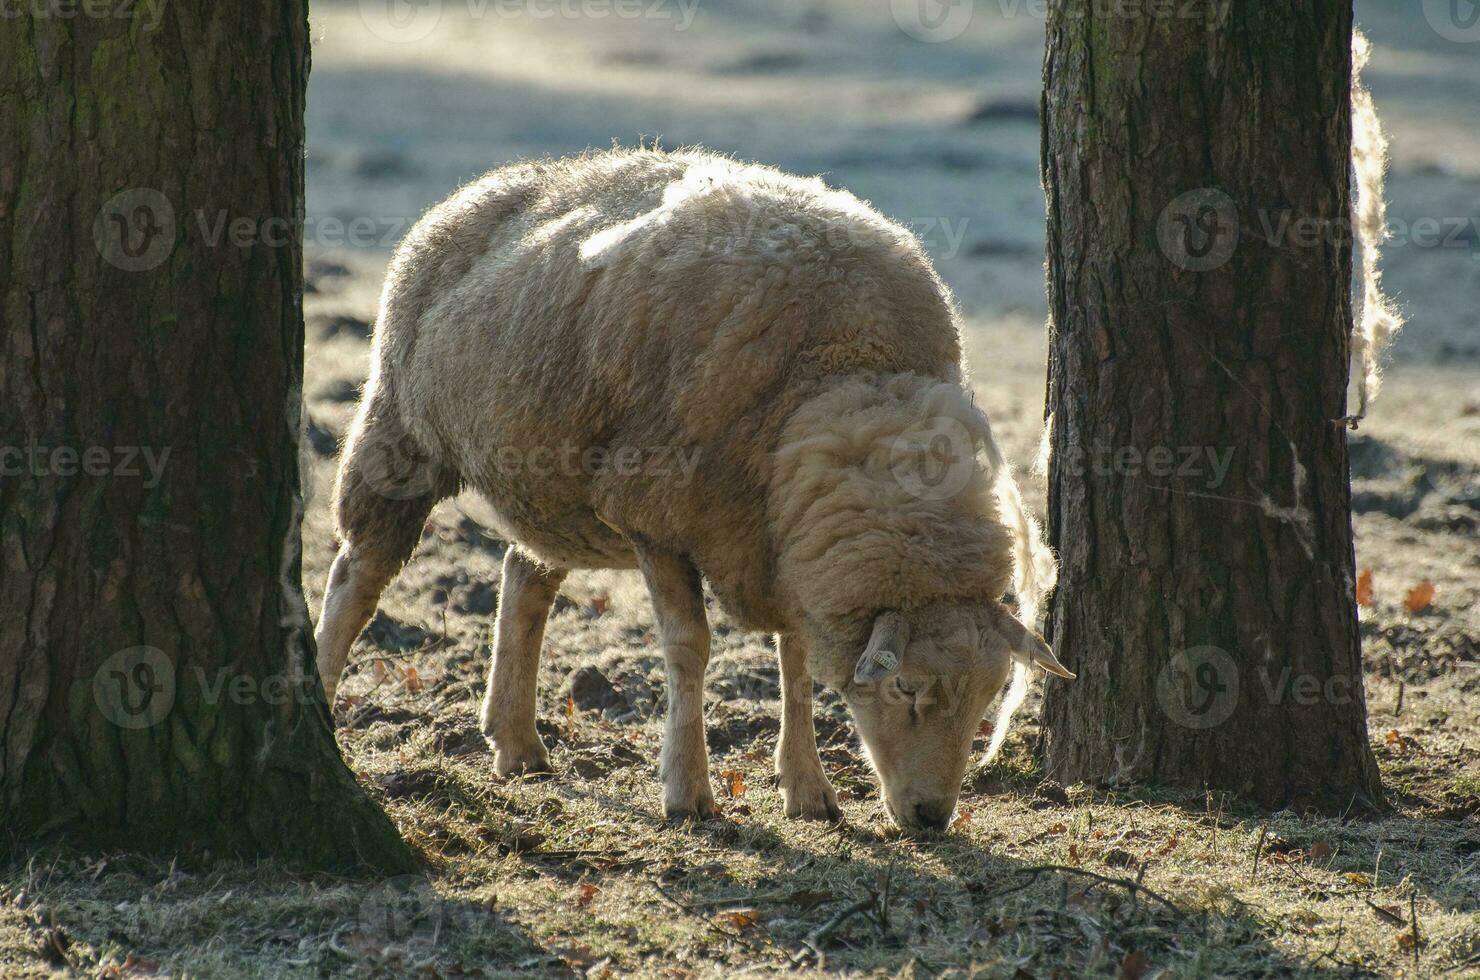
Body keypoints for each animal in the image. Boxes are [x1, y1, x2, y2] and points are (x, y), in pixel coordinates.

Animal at [318, 149, 1071, 834]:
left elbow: (797, 660)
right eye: (907, 688)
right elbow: (690, 647)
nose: (931, 818)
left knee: (523, 575)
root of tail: (487, 185)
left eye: (988, 696)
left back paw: (518, 744)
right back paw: (322, 691)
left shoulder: (782, 541)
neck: (849, 378)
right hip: (400, 431)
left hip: (554, 485)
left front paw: (808, 788)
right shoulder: (658, 513)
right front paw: (687, 792)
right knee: (359, 575)